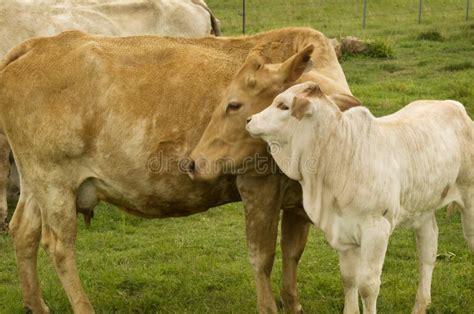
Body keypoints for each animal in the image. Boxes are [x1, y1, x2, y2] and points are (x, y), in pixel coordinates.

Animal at [0, 28, 356, 312]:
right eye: (233, 103)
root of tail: (38, 44)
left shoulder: (298, 201)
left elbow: (292, 255)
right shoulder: (258, 184)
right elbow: (263, 256)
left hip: (36, 184)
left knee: (24, 232)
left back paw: (36, 304)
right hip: (54, 182)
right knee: (59, 245)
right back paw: (81, 306)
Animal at [248, 83, 474, 314]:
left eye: (283, 106)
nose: (249, 119)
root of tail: (453, 105)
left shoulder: (377, 230)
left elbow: (368, 286)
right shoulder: (342, 231)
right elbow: (349, 279)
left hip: (469, 201)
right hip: (423, 209)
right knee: (428, 253)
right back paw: (420, 305)